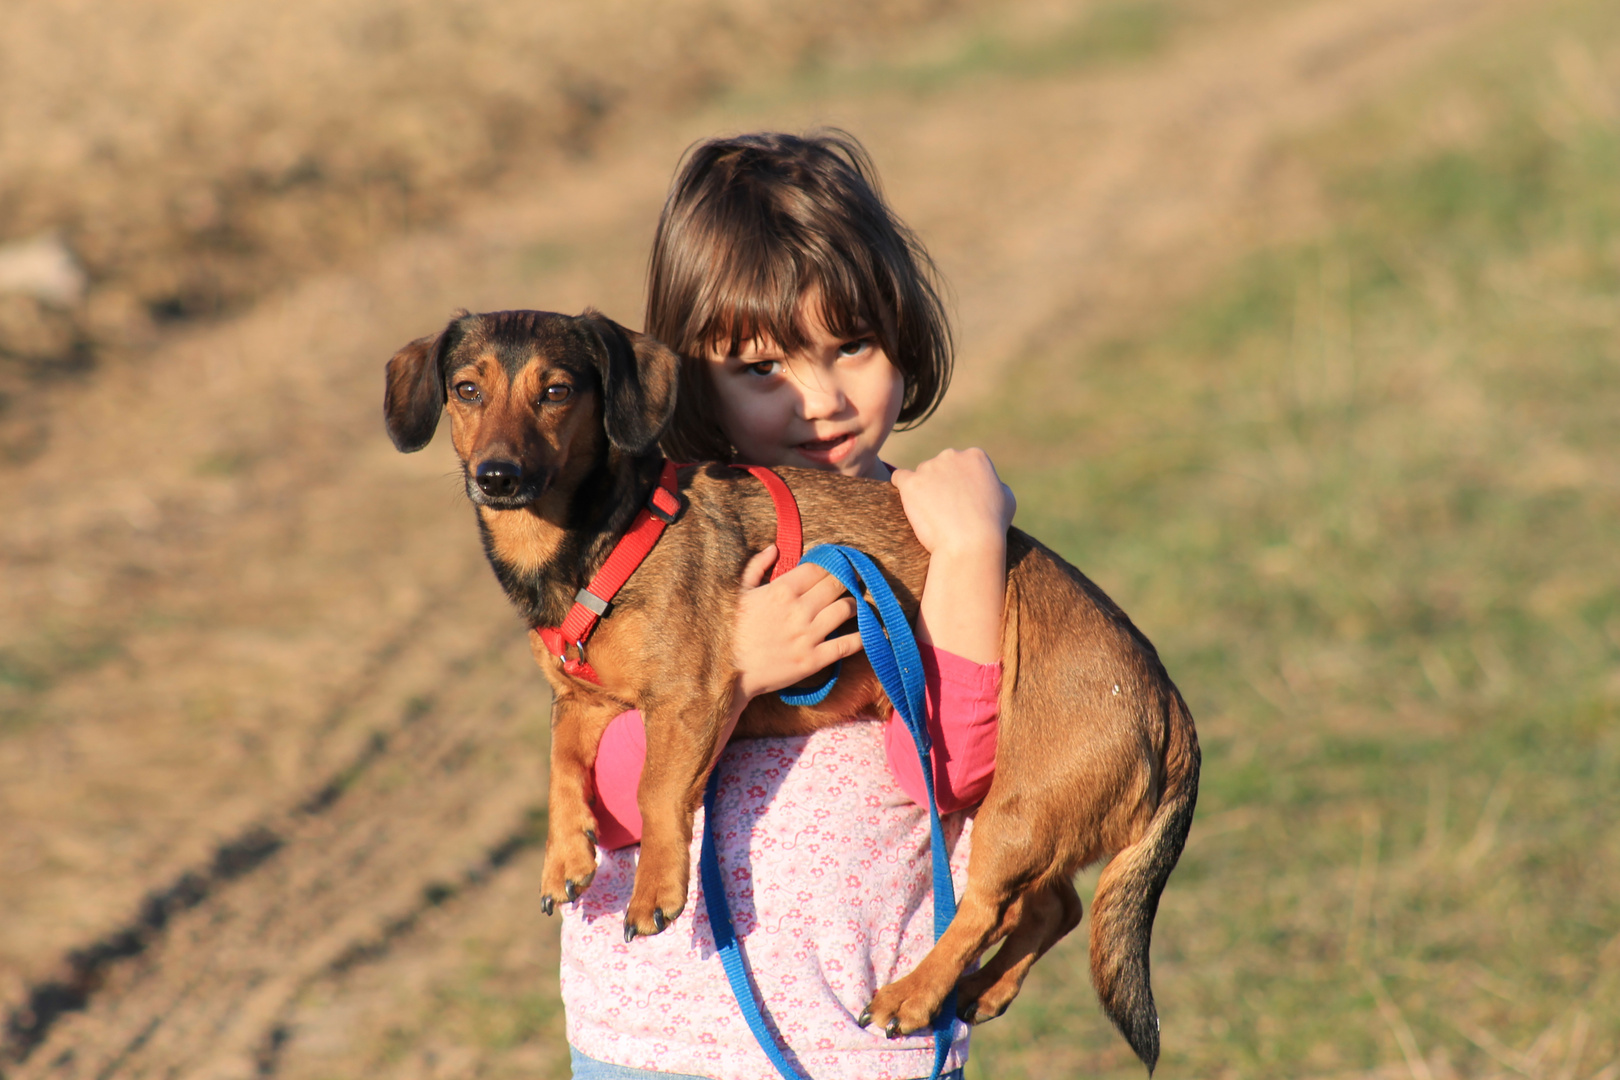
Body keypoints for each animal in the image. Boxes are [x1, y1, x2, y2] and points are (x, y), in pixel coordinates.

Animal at [382, 306, 1205, 1075]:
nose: (497, 475)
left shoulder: (689, 695)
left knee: (985, 906)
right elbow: (559, 765)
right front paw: (565, 856)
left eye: (555, 391)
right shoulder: (586, 701)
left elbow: (653, 789)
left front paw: (654, 886)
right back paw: (981, 989)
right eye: (466, 390)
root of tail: (1171, 706)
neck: (591, 543)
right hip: (1033, 813)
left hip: (1017, 813)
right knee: (1053, 906)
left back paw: (914, 994)